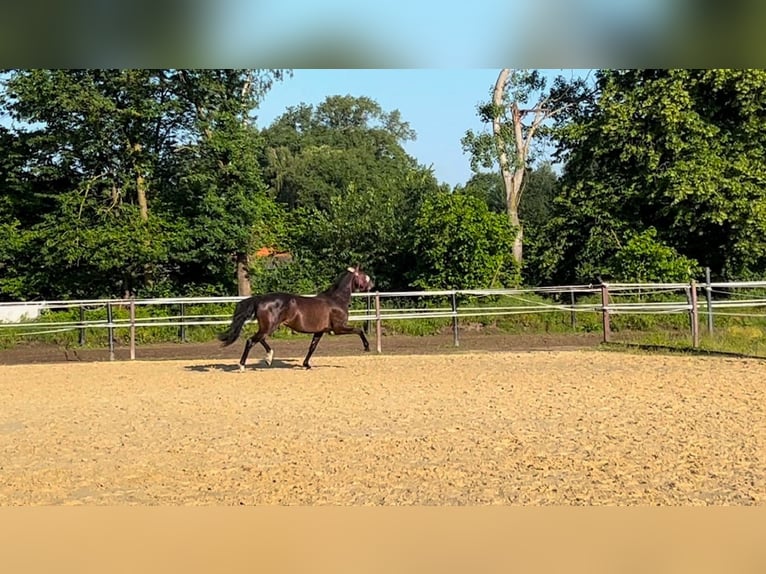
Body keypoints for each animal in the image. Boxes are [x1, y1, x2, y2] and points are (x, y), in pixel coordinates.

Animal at [219, 266, 376, 372]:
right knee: (251, 341)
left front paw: (306, 365)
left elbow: (312, 347)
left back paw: (269, 358)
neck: (336, 299)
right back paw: (242, 366)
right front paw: (367, 347)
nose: (372, 286)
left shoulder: (320, 331)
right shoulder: (338, 328)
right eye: (364, 276)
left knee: (260, 339)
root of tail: (260, 299)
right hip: (269, 326)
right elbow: (359, 330)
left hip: (268, 326)